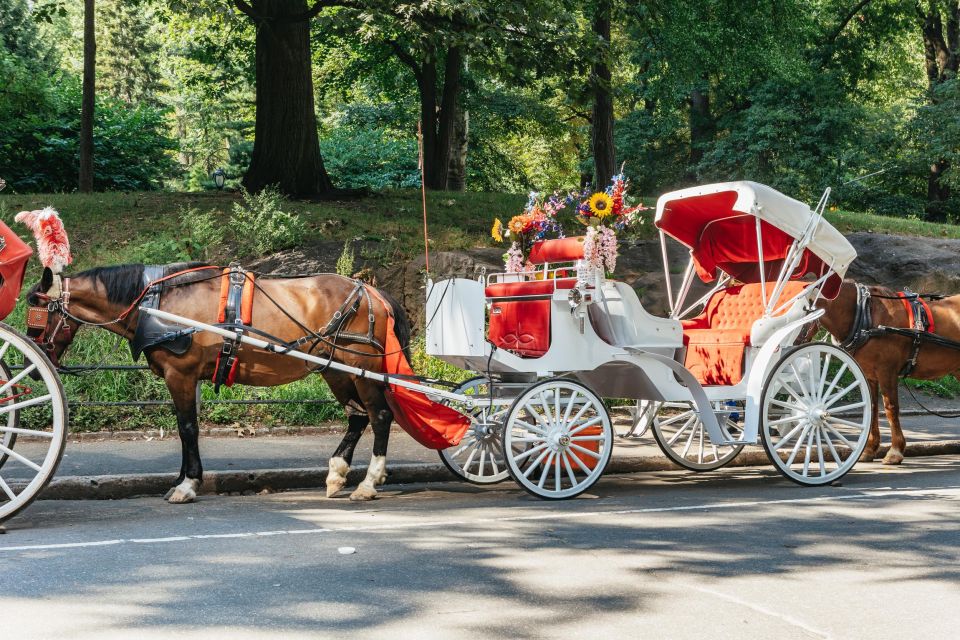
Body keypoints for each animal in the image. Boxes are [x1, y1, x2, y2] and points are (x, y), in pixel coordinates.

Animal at [26, 262, 408, 502]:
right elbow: (187, 428)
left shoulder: (180, 373)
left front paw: (187, 484)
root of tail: (374, 293)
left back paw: (369, 482)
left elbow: (187, 428)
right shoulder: (185, 377)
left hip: (360, 367)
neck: (158, 303)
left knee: (379, 416)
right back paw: (337, 473)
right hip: (335, 369)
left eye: (37, 312)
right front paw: (182, 479)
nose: (33, 366)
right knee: (357, 417)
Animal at [812, 280, 960, 464]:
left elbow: (890, 408)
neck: (865, 312)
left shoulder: (886, 371)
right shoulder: (868, 375)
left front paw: (895, 451)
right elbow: (873, 408)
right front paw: (869, 449)